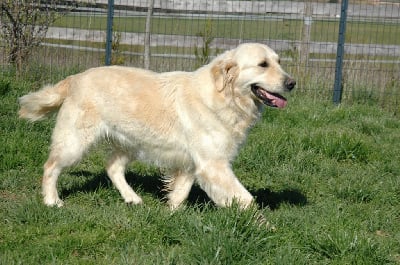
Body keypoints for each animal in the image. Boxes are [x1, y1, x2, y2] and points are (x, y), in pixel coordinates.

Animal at [18, 42, 294, 208]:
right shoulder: (214, 164)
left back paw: (132, 198)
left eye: (279, 62)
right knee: (50, 167)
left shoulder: (192, 164)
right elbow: (246, 199)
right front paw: (268, 230)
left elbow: (180, 193)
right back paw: (52, 201)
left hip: (130, 141)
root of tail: (76, 77)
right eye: (263, 65)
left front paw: (172, 214)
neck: (225, 97)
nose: (292, 83)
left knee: (112, 167)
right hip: (75, 142)